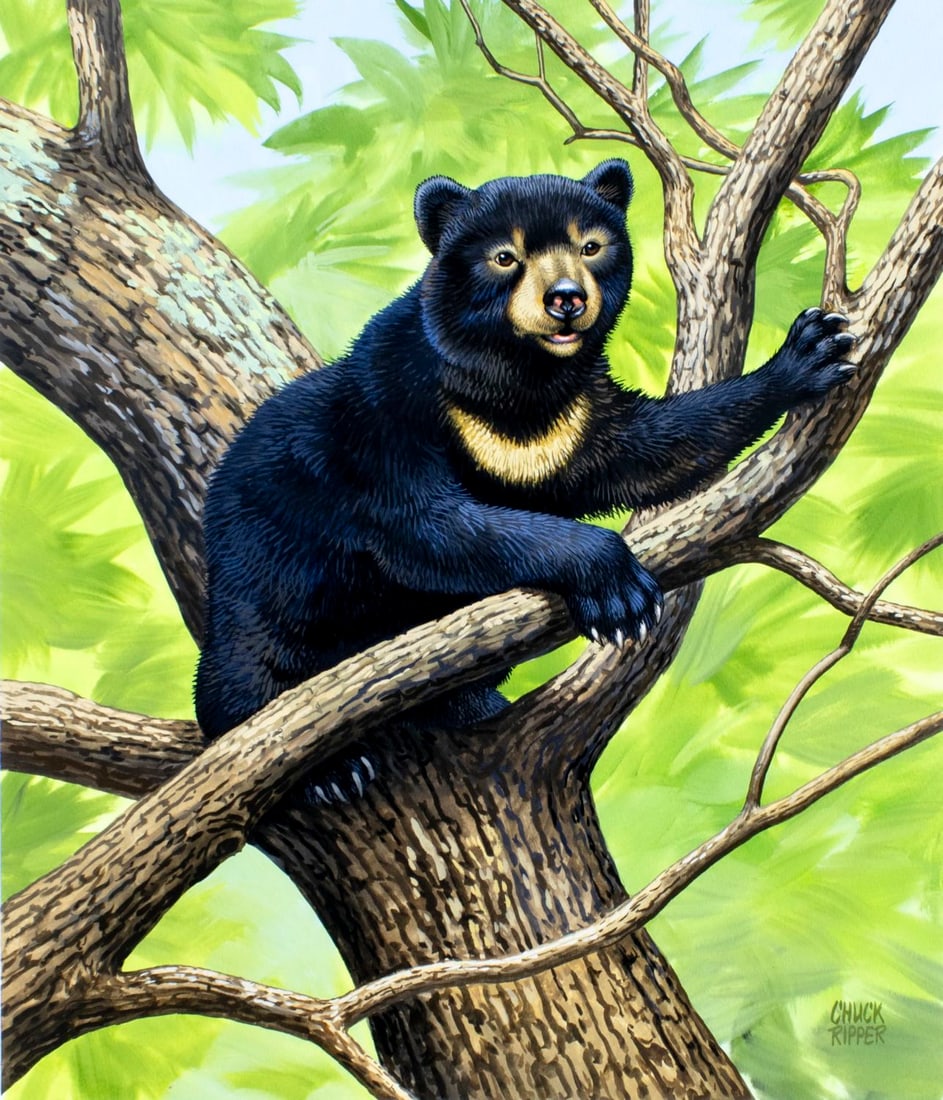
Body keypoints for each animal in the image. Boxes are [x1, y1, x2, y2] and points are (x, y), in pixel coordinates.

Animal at [194, 159, 855, 744]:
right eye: (504, 256)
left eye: (591, 246)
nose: (565, 299)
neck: (516, 382)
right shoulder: (387, 410)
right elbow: (427, 525)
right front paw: (617, 588)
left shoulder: (572, 419)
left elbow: (643, 451)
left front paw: (810, 353)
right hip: (262, 579)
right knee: (249, 661)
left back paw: (467, 702)